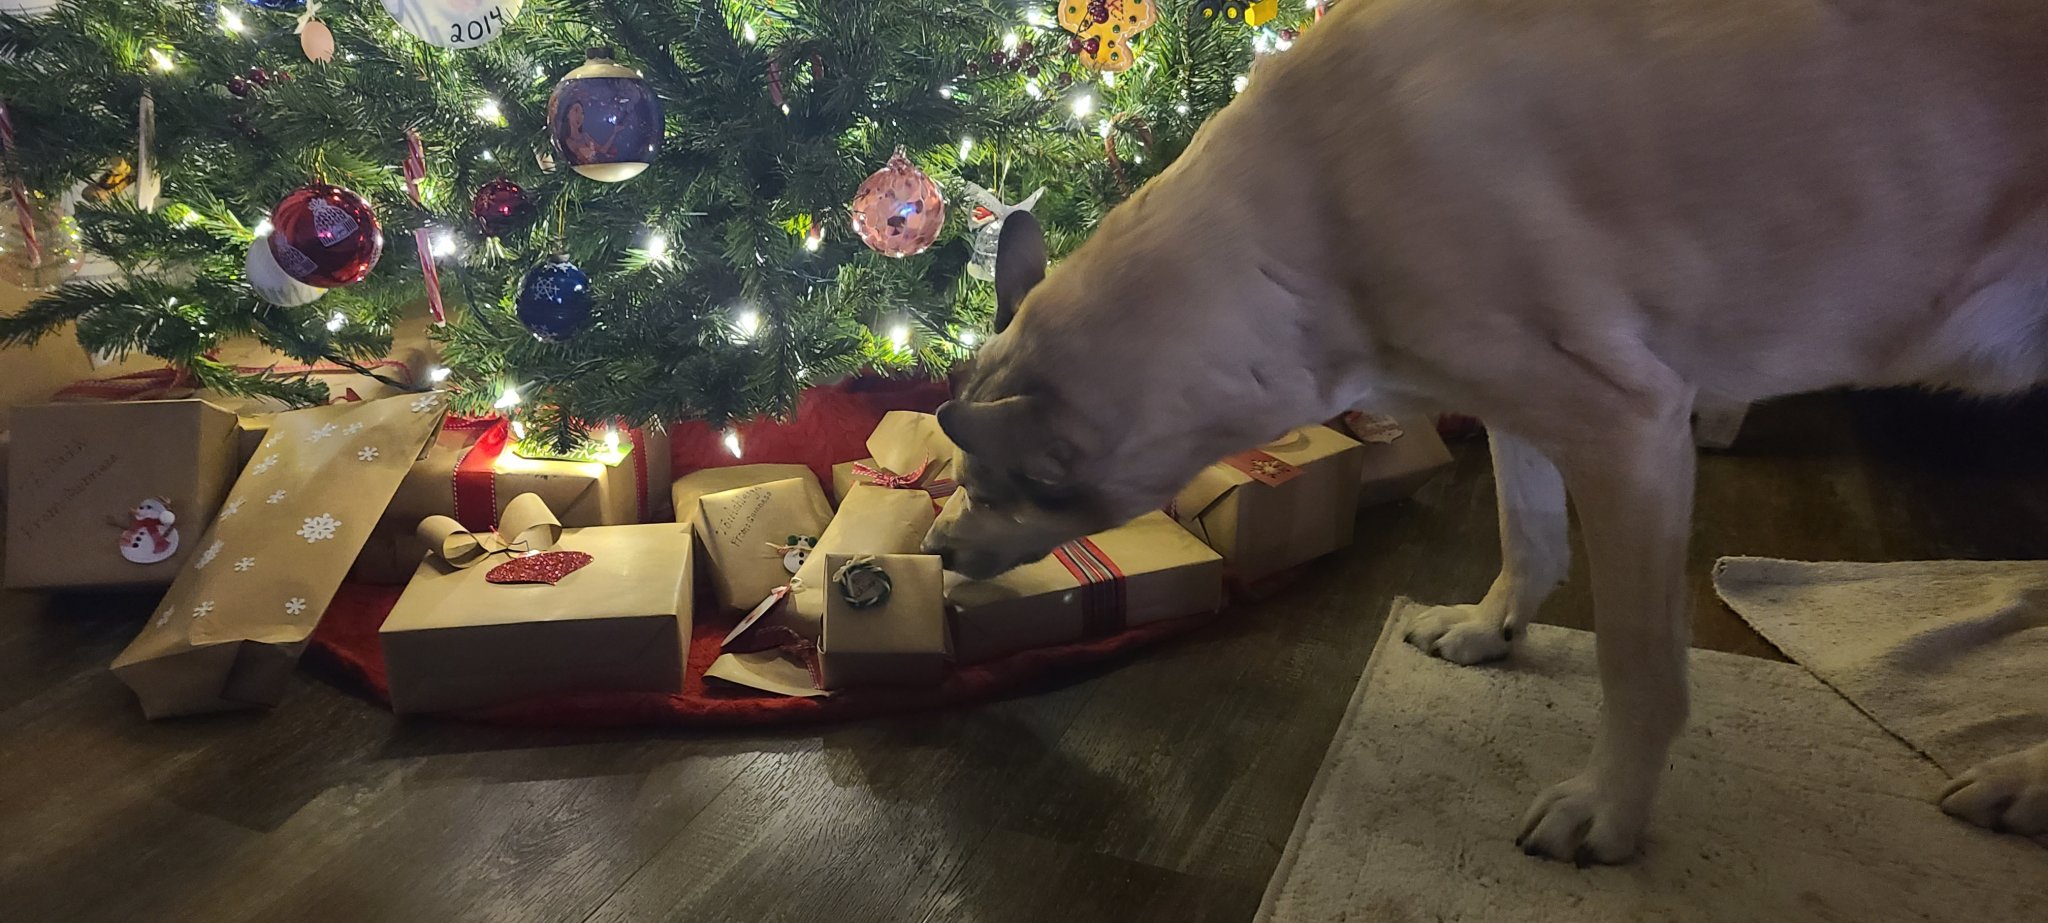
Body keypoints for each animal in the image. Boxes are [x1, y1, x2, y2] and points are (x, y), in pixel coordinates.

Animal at [923, 0, 2048, 864]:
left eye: (985, 484)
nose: (934, 547)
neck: (1293, 234)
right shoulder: (1523, 404)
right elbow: (1527, 530)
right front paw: (1490, 627)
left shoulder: (1629, 429)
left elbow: (1639, 665)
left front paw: (1610, 812)